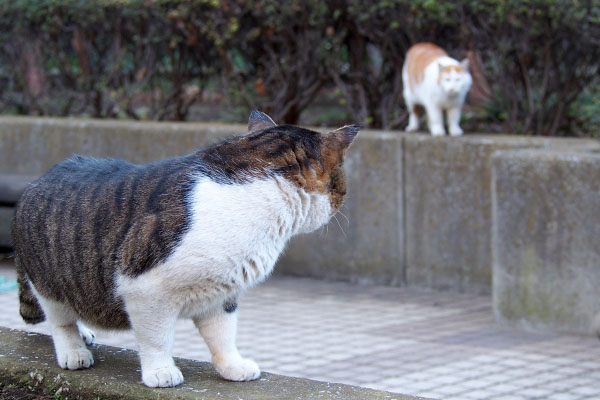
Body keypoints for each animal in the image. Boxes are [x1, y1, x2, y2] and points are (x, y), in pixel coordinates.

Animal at [12, 110, 356, 388]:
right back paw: (74, 349)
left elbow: (223, 335)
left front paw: (233, 367)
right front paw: (161, 373)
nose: (342, 202)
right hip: (50, 281)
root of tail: (34, 183)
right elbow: (156, 339)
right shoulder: (145, 289)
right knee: (60, 321)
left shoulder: (222, 293)